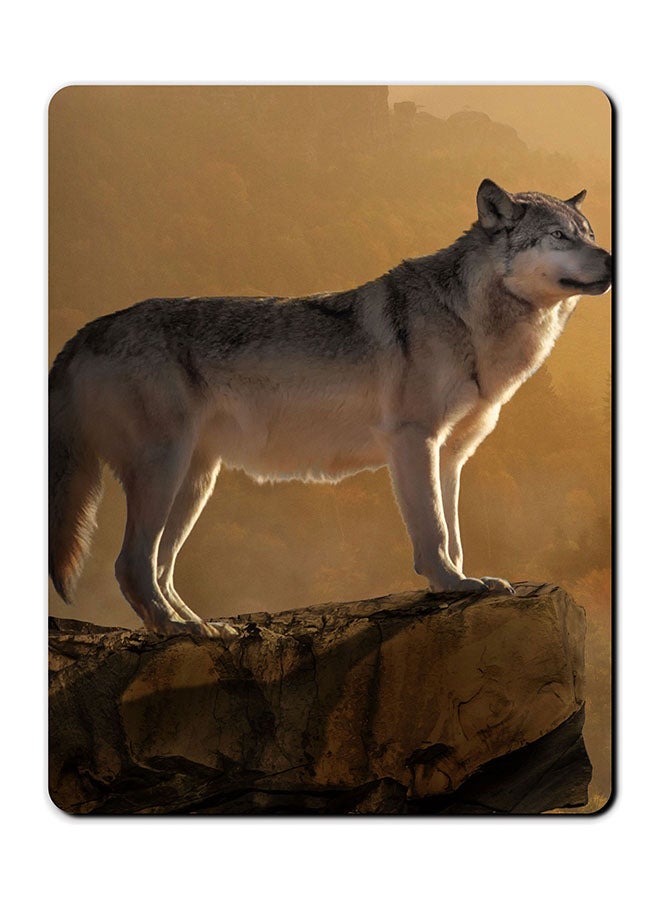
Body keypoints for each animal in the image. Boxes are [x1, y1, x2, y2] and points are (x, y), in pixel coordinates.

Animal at [49, 180, 611, 638]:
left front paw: (467, 579)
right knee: (130, 565)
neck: (470, 320)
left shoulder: (451, 457)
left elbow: (453, 534)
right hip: (164, 470)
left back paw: (201, 627)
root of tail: (83, 333)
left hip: (195, 482)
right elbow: (432, 531)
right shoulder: (413, 440)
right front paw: (451, 584)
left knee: (159, 569)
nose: (610, 258)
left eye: (588, 233)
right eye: (560, 236)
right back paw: (177, 630)